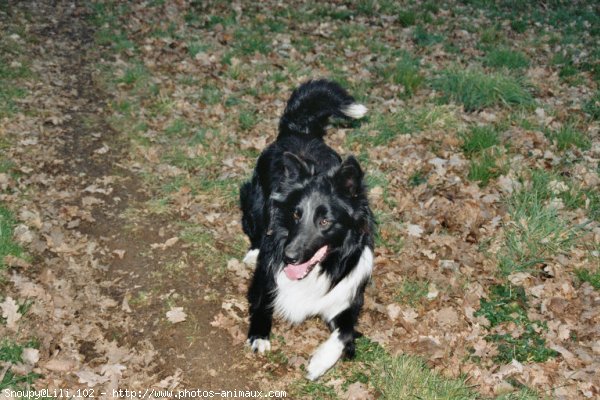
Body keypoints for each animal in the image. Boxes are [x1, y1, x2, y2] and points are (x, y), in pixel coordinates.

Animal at [238, 79, 370, 380]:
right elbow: (262, 304)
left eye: (325, 222)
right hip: (253, 200)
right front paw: (259, 336)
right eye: (296, 214)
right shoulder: (265, 277)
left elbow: (346, 333)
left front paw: (321, 361)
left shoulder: (347, 301)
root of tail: (300, 131)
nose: (289, 257)